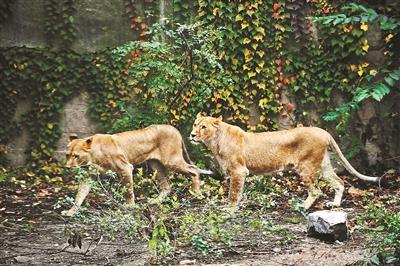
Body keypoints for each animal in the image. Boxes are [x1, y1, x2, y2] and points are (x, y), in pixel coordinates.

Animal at [63, 124, 219, 216]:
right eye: (67, 155)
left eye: (76, 156)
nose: (67, 167)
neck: (92, 156)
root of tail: (174, 128)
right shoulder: (88, 176)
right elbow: (80, 195)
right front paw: (71, 211)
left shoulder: (125, 168)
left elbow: (128, 191)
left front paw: (130, 207)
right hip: (156, 165)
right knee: (166, 186)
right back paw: (155, 201)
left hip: (171, 160)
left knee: (194, 169)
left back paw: (197, 193)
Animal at [189, 113, 380, 211]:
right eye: (195, 124)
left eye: (203, 127)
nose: (191, 135)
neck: (215, 141)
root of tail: (323, 131)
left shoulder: (239, 171)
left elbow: (233, 193)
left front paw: (230, 210)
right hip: (324, 164)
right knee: (339, 182)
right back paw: (334, 204)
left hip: (306, 167)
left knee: (316, 190)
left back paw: (302, 207)